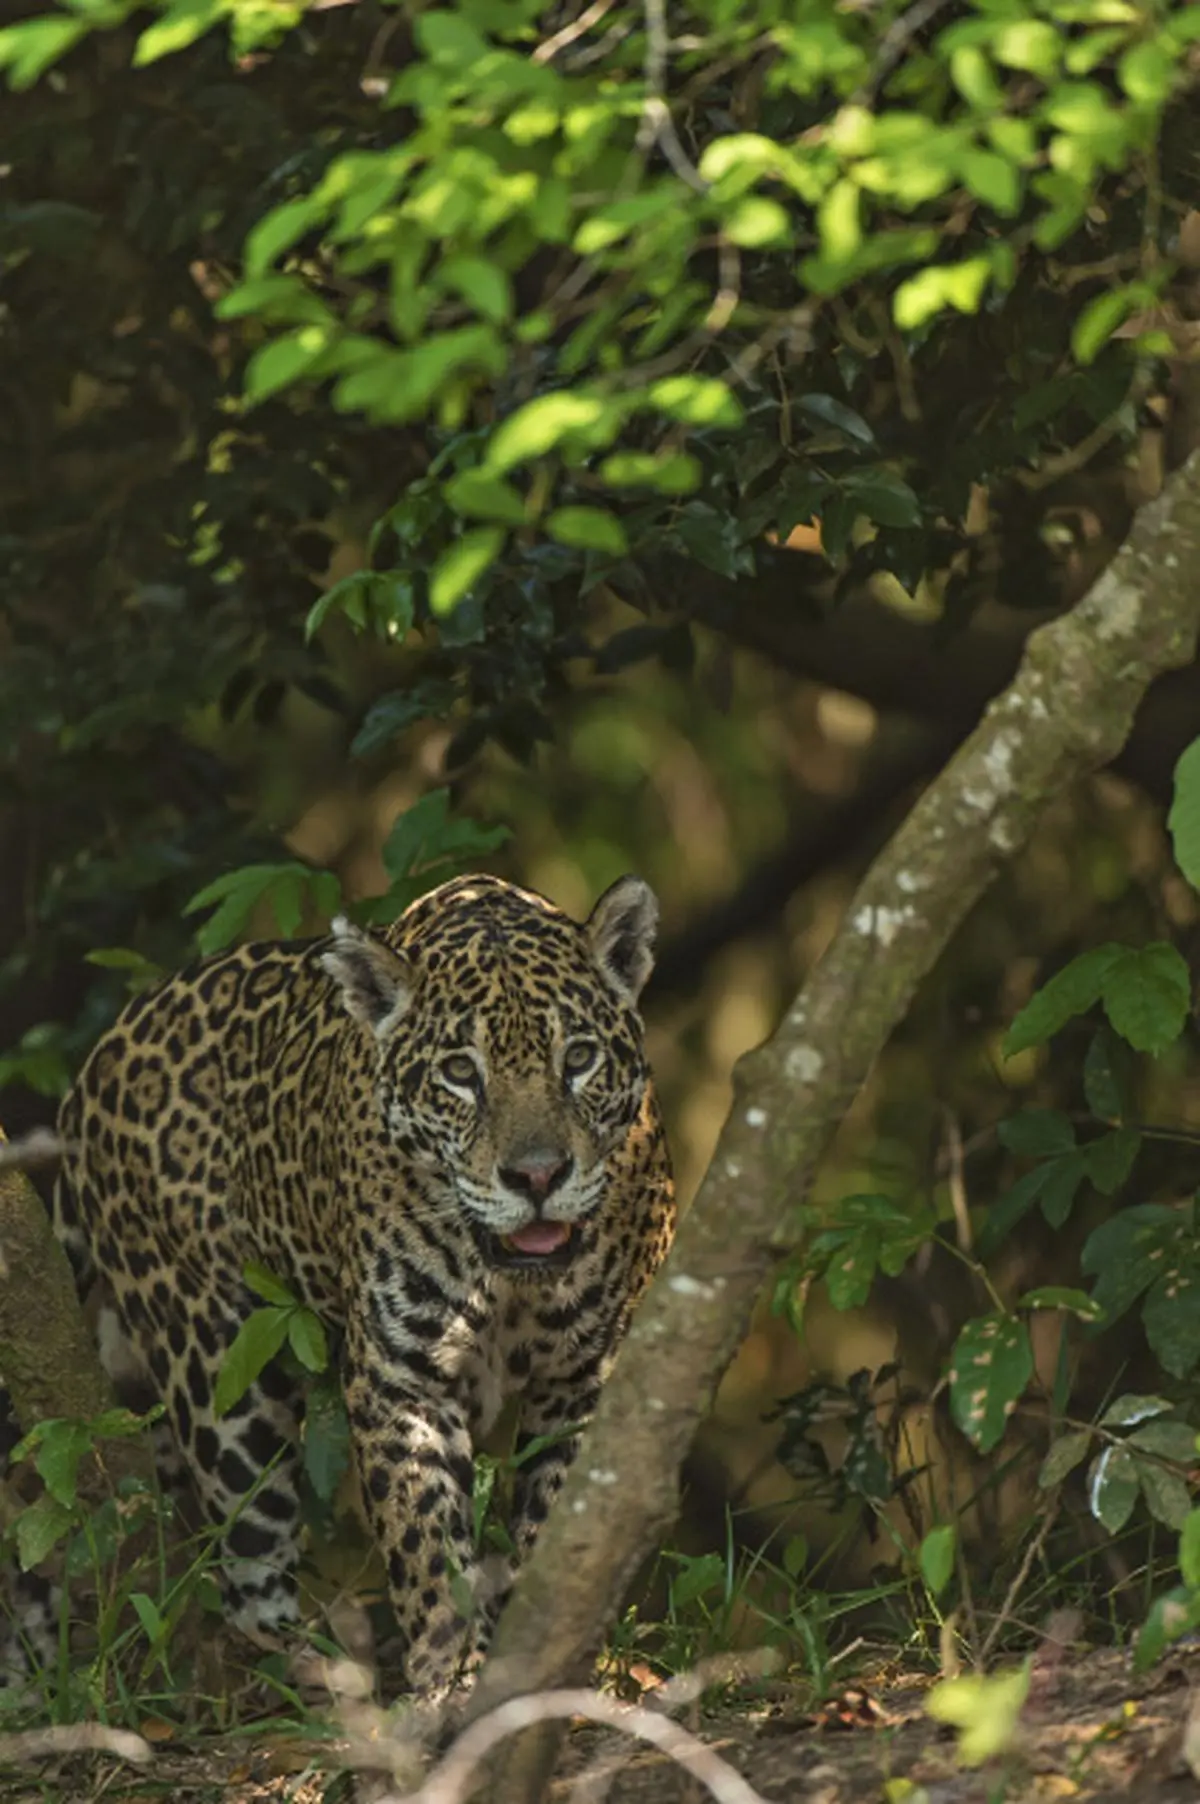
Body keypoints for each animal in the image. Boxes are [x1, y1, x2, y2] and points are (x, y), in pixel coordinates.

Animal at [6, 872, 675, 1691]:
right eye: (461, 1072)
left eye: (578, 1057)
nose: (538, 1176)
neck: (509, 1278)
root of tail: (95, 1068)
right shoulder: (400, 1376)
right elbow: (424, 1536)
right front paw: (453, 1672)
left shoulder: (592, 1374)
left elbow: (564, 1518)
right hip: (218, 1374)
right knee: (245, 1567)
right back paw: (321, 1669)